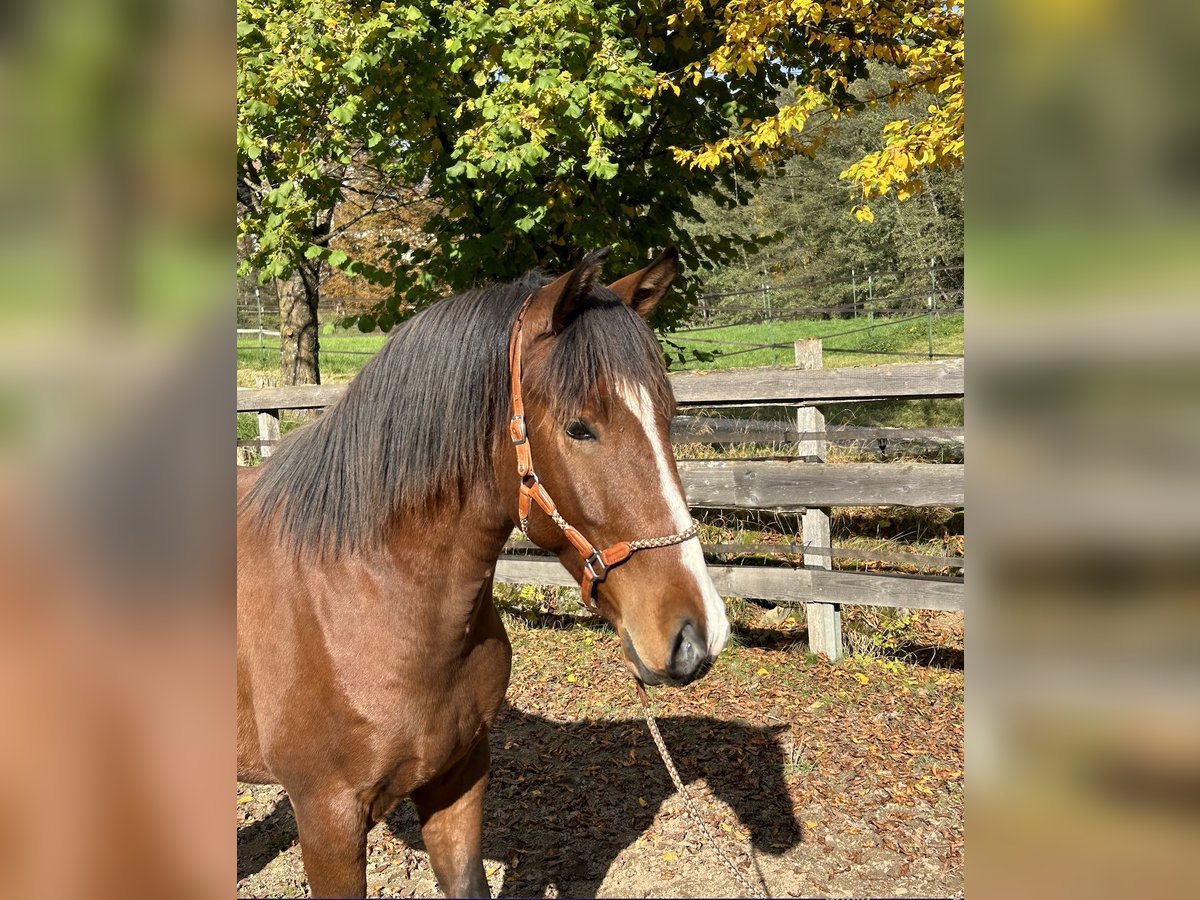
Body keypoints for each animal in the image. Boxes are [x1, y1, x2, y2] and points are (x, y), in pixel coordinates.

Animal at [231, 244, 720, 897]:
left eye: (669, 416)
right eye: (579, 427)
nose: (698, 636)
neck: (363, 594)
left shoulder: (458, 780)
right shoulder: (327, 818)